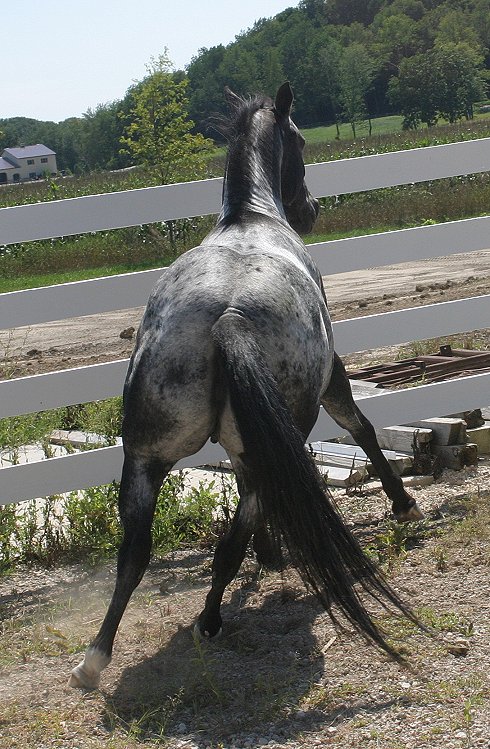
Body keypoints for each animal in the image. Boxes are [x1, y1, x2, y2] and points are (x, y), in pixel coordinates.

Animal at [69, 82, 422, 688]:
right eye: (299, 139)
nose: (311, 210)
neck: (250, 219)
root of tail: (227, 317)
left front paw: (270, 551)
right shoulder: (331, 375)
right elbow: (362, 428)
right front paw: (402, 504)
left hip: (143, 456)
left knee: (134, 553)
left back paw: (96, 658)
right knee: (229, 542)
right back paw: (209, 620)